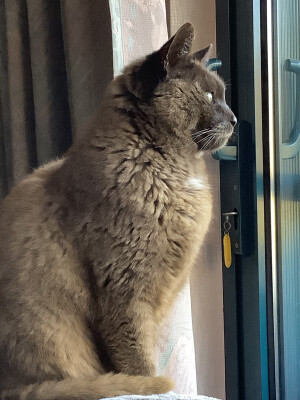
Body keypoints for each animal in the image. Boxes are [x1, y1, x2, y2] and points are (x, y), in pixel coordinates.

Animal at [0, 23, 237, 398]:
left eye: (223, 95)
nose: (235, 118)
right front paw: (152, 386)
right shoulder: (124, 291)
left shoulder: (158, 296)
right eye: (210, 96)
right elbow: (137, 359)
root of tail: (9, 389)